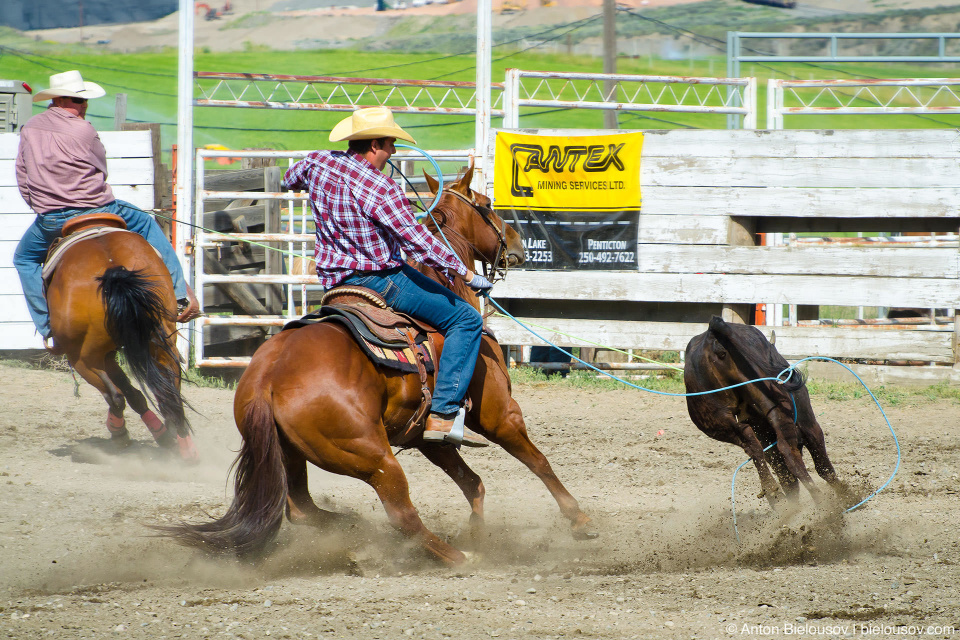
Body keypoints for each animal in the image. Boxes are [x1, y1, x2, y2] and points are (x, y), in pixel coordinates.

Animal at [45, 215, 197, 460]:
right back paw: (184, 446)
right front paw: (163, 434)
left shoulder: (104, 355)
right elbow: (135, 393)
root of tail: (112, 268)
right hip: (161, 342)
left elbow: (125, 392)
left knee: (115, 396)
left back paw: (122, 434)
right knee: (168, 389)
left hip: (82, 358)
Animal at [162, 166, 596, 564]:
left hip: (292, 453)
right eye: (487, 206)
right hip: (372, 456)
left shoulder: (425, 435)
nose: (518, 244)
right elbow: (538, 461)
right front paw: (579, 520)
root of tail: (266, 381)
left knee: (302, 508)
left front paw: (480, 533)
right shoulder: (498, 413)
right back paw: (455, 557)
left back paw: (353, 530)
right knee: (402, 515)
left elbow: (473, 483)